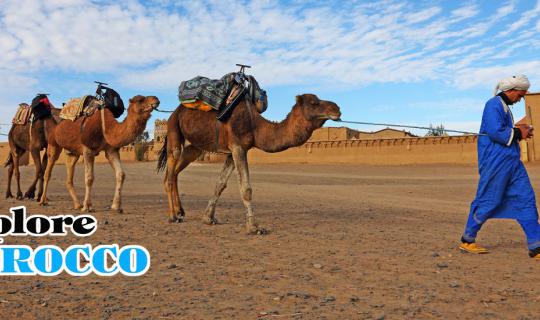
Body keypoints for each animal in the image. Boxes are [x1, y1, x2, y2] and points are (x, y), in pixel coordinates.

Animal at [157, 94, 342, 234]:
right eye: (314, 102)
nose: (337, 108)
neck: (256, 126)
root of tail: (174, 112)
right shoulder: (238, 147)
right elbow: (246, 189)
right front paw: (254, 227)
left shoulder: (232, 152)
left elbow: (220, 184)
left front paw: (208, 218)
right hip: (174, 129)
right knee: (170, 173)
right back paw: (173, 216)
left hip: (195, 146)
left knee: (175, 172)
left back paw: (180, 211)